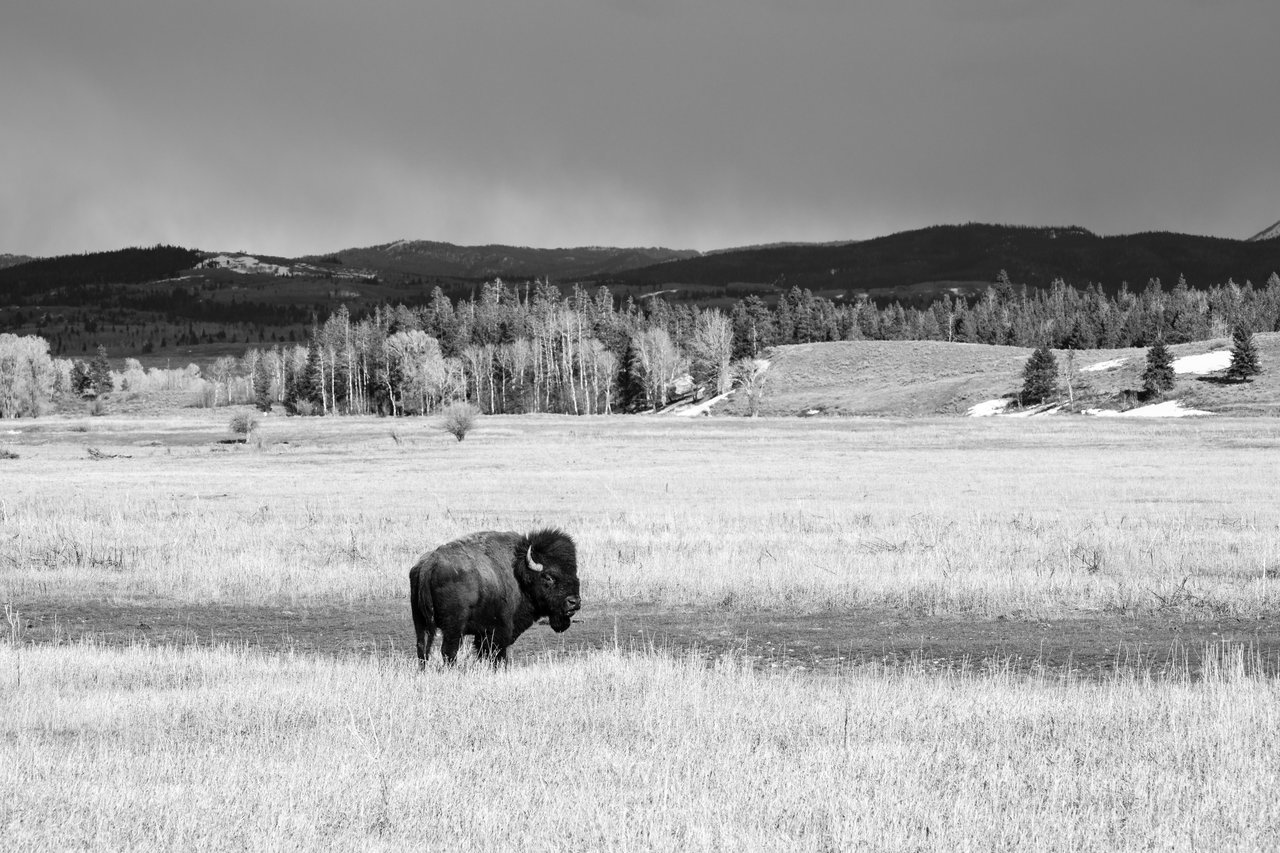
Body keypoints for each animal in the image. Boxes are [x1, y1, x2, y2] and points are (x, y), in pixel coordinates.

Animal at [408, 528, 581, 668]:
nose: (574, 602)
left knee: (423, 647)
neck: (520, 574)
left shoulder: (483, 633)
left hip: (420, 621)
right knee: (448, 651)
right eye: (549, 577)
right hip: (453, 626)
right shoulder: (500, 630)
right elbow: (497, 654)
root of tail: (428, 565)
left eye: (574, 572)